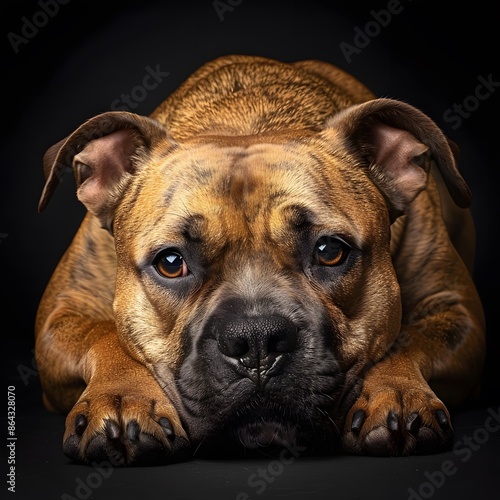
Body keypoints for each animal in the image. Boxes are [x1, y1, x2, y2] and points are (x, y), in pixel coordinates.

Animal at [35, 54, 484, 464]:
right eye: (170, 262)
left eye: (330, 251)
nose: (256, 341)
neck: (247, 120)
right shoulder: (61, 315)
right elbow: (106, 334)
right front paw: (122, 397)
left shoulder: (458, 313)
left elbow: (409, 338)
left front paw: (398, 391)